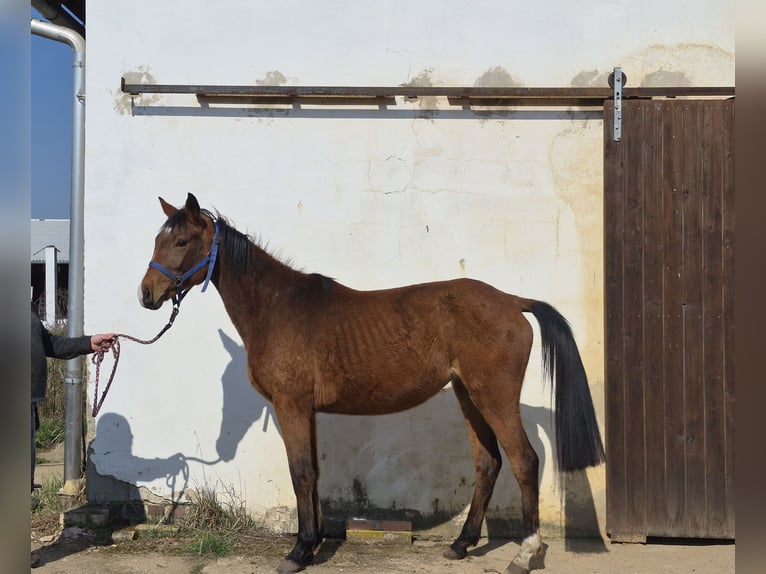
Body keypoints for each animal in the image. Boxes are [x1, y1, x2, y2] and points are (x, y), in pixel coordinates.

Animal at [139, 193, 605, 574]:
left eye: (181, 242)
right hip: (468, 394)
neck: (277, 308)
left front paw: (298, 552)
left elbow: (300, 471)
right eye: (158, 240)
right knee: (488, 463)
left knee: (524, 461)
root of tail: (511, 301)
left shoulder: (291, 405)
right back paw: (461, 544)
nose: (146, 294)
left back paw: (525, 554)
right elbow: (314, 472)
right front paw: (313, 544)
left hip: (494, 395)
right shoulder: (307, 410)